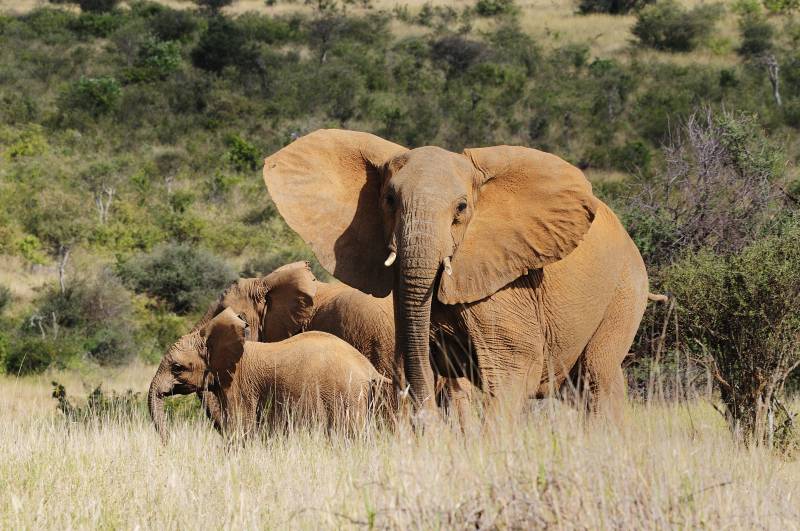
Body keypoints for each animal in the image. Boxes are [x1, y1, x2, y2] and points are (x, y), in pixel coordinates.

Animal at [149, 308, 390, 440]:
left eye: (177, 367)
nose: (168, 443)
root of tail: (369, 369)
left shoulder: (239, 388)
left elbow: (240, 430)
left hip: (346, 395)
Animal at [266, 130, 652, 424]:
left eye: (462, 208)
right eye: (389, 199)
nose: (424, 420)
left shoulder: (506, 282)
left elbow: (514, 367)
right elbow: (434, 364)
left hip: (624, 291)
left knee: (596, 378)